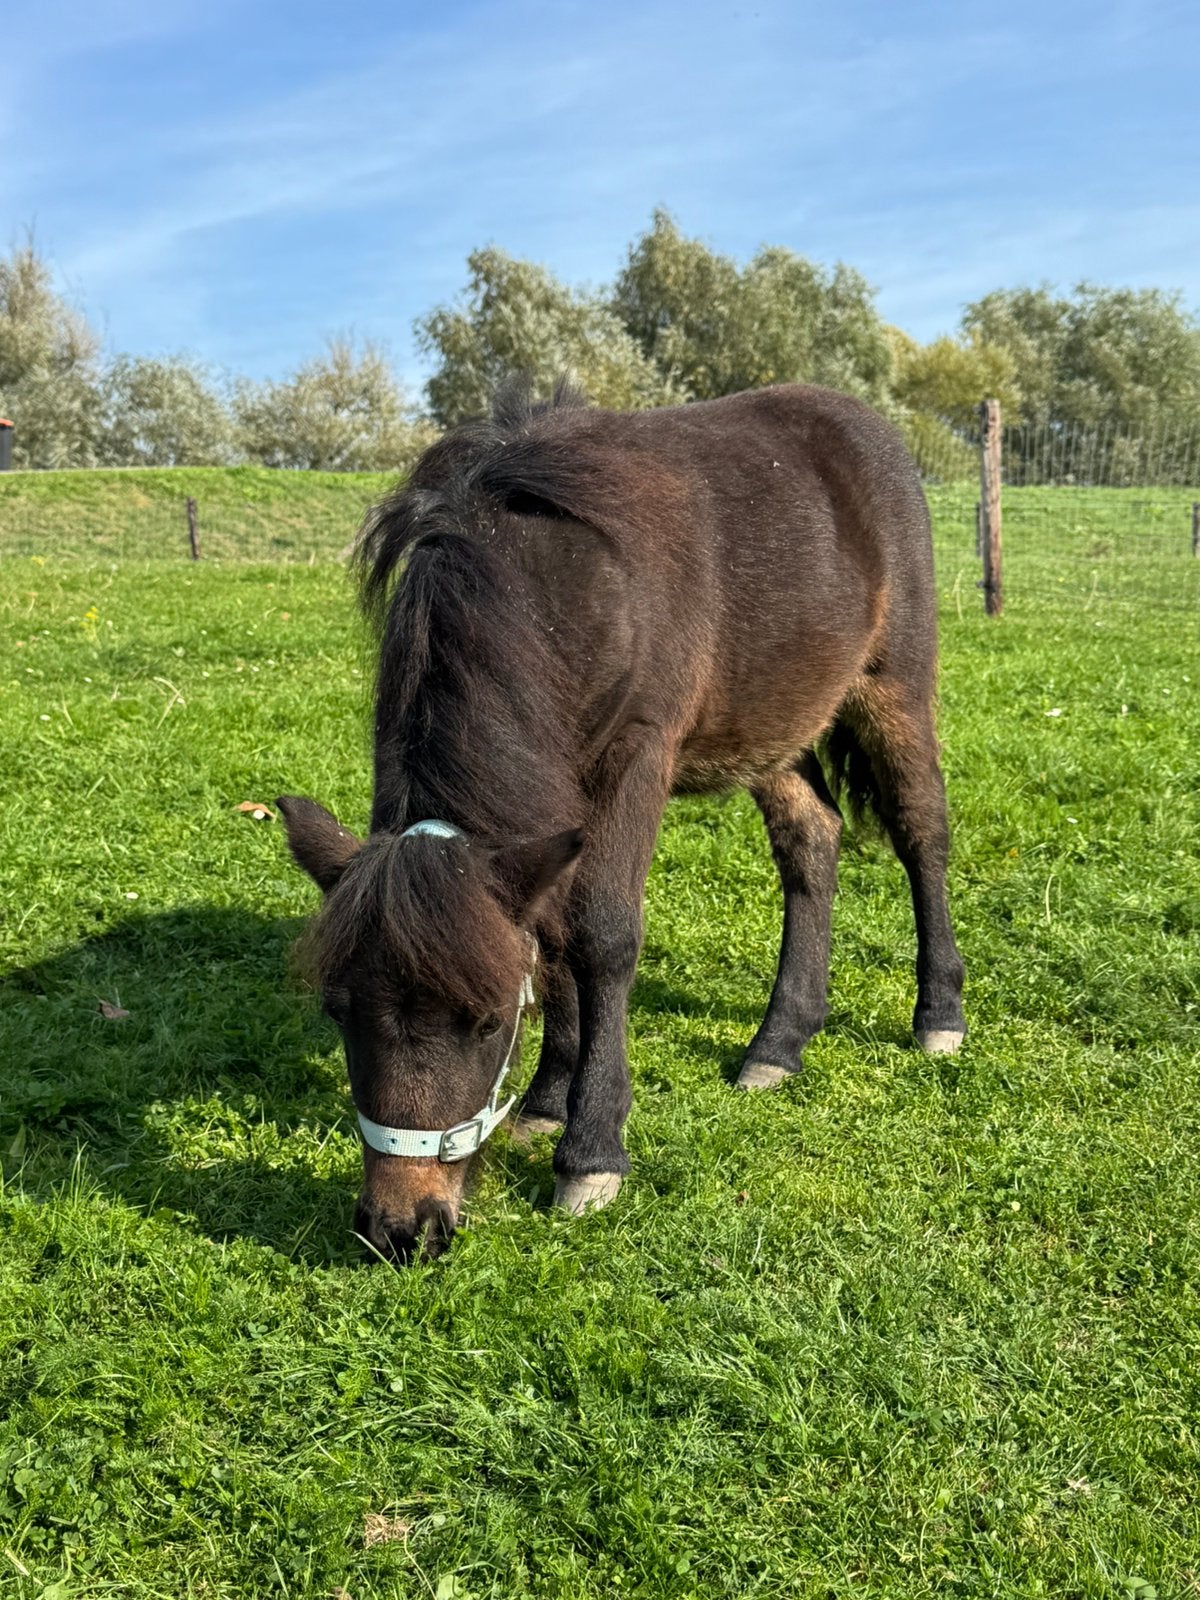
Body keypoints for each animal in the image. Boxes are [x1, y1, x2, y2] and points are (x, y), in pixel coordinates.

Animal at [277, 378, 965, 1263]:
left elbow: (602, 938)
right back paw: (779, 1043)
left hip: (894, 683)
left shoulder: (638, 756)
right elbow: (553, 937)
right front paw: (545, 1102)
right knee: (812, 839)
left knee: (922, 832)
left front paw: (591, 1153)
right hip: (771, 725)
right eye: (338, 1008)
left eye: (488, 1021)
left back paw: (938, 1016)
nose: (402, 1228)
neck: (548, 583)